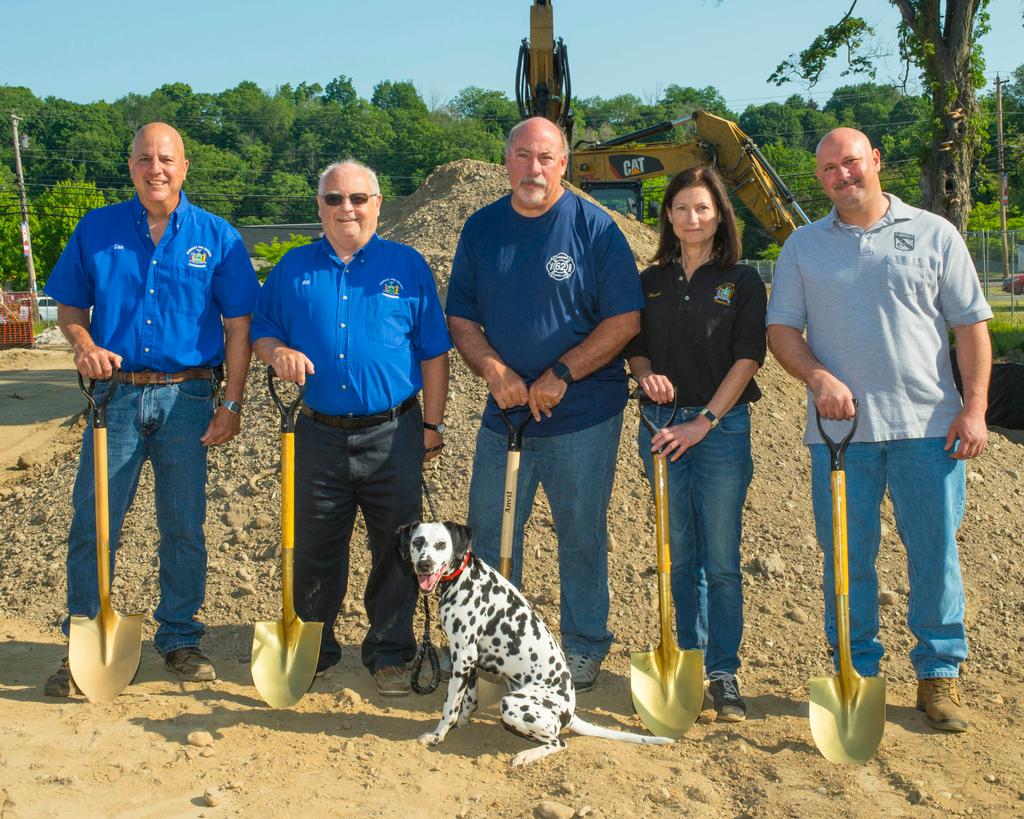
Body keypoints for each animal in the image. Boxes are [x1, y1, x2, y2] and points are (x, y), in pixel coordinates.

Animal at [397, 522, 671, 765]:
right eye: (417, 542)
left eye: (442, 544)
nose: (424, 564)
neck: (464, 577)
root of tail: (569, 712)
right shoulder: (468, 657)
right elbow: (468, 698)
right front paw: (463, 721)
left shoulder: (463, 655)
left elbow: (450, 705)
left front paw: (437, 735)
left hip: (512, 704)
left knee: (559, 742)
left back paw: (526, 756)